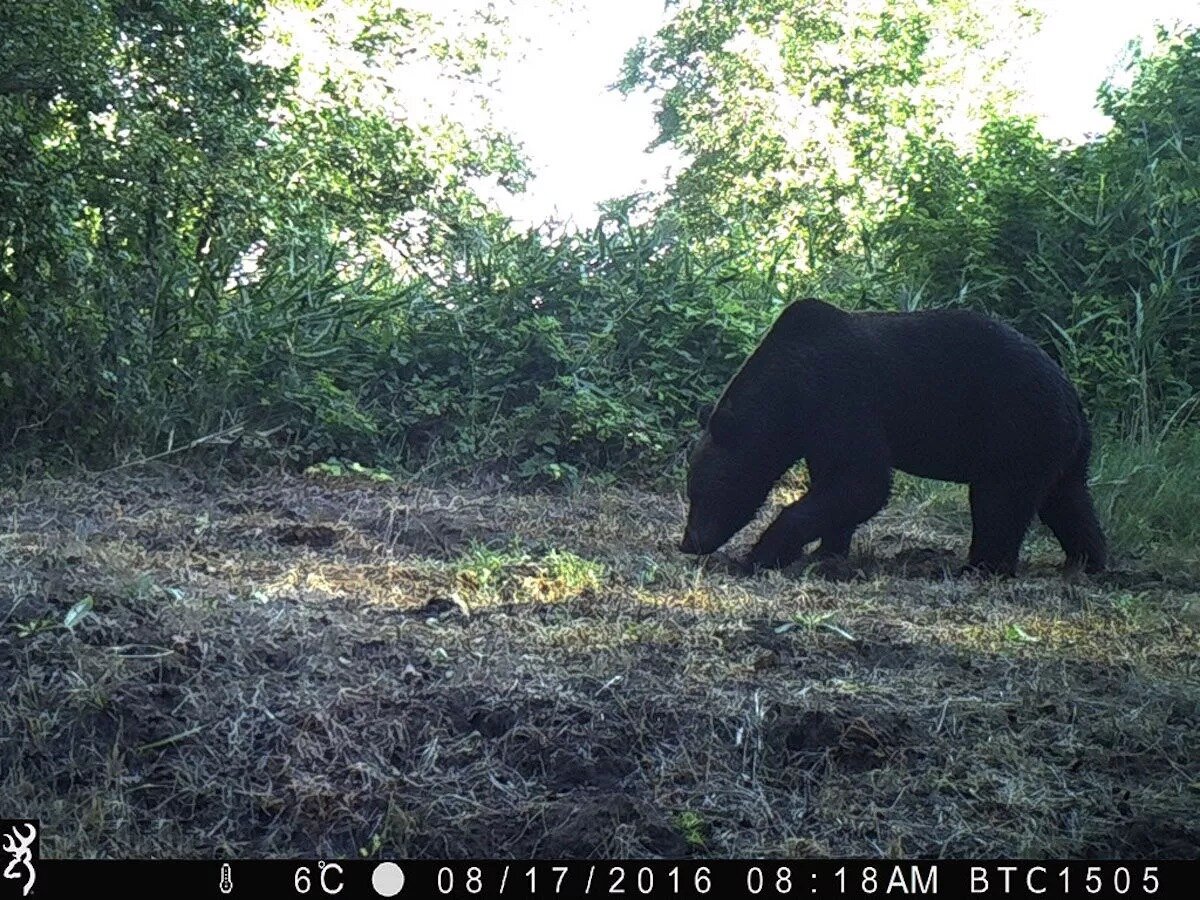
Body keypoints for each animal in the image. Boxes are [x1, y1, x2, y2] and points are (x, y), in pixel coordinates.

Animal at [681, 297, 1108, 578]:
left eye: (703, 492)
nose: (689, 542)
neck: (790, 393)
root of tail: (1072, 397)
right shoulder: (820, 429)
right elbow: (837, 484)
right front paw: (827, 550)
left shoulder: (844, 397)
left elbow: (864, 481)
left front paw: (761, 553)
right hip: (1058, 447)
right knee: (1068, 501)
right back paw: (1086, 560)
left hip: (1015, 428)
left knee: (1000, 501)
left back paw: (981, 566)